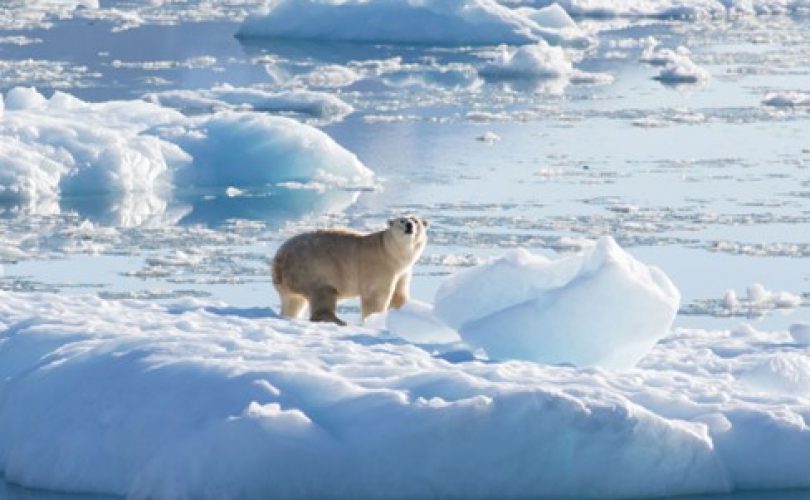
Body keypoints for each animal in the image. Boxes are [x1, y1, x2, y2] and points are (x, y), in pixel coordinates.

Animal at [272, 216, 426, 326]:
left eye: (415, 220)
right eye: (402, 220)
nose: (409, 225)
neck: (389, 251)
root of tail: (279, 259)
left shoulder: (403, 272)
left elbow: (399, 295)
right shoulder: (379, 266)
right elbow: (375, 296)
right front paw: (374, 319)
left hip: (291, 279)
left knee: (293, 301)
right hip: (312, 268)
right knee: (323, 292)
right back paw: (338, 320)